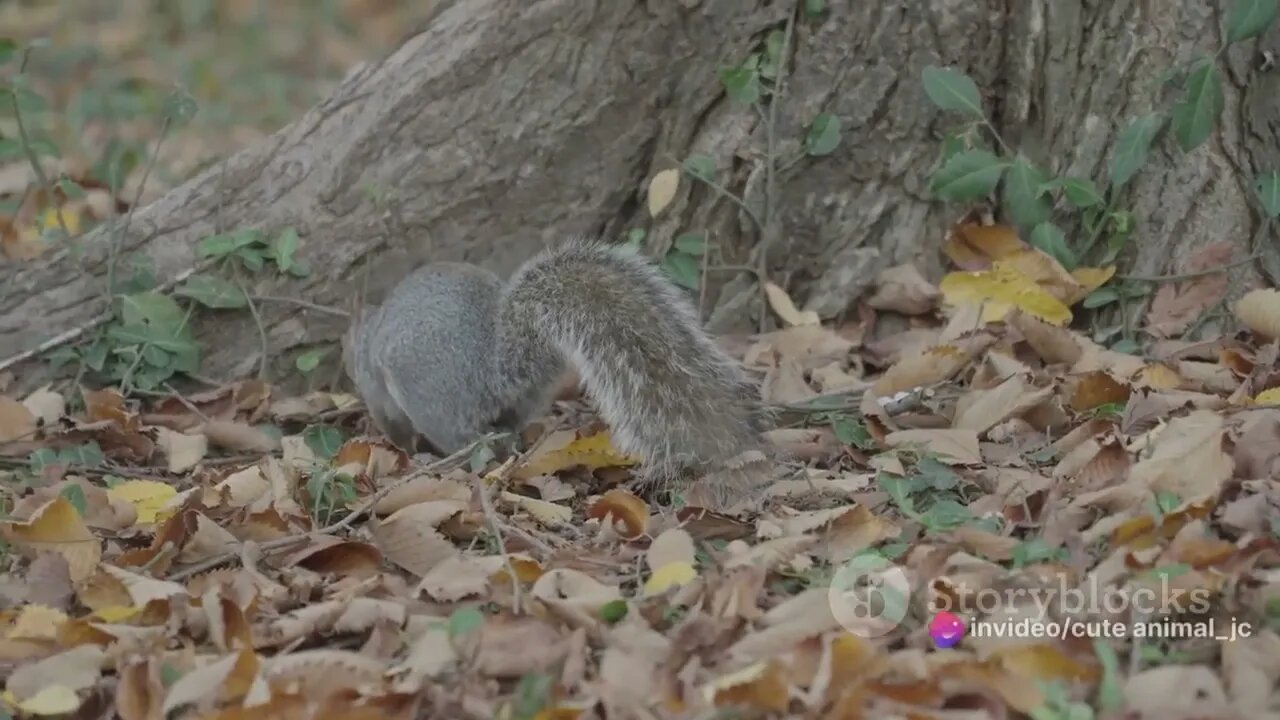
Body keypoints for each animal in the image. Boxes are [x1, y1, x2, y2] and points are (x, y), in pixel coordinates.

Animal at [340, 238, 768, 489]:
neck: (368, 333)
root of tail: (492, 366)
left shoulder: (379, 393)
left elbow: (393, 425)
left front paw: (400, 447)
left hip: (429, 395)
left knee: (466, 440)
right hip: (521, 401)